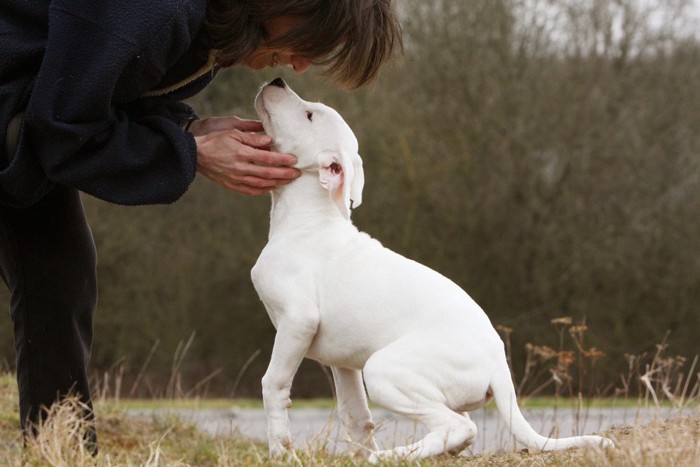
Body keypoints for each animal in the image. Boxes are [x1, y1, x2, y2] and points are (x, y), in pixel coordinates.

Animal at [252, 78, 612, 462]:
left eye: (309, 115)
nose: (277, 80)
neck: (308, 217)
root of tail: (498, 365)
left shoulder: (297, 322)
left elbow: (273, 384)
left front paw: (279, 450)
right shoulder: (343, 363)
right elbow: (356, 415)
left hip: (384, 369)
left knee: (458, 427)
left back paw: (390, 456)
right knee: (459, 428)